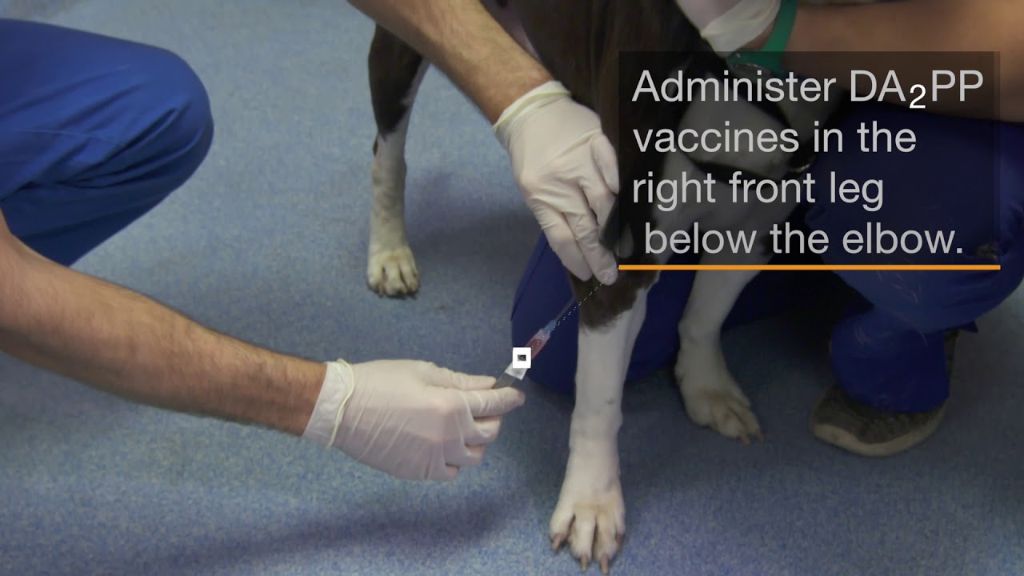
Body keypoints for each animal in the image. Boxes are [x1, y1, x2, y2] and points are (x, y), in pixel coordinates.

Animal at [364, 0, 843, 565]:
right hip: (401, 51)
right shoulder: (611, 258)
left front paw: (706, 386)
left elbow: (705, 317)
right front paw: (591, 502)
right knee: (388, 152)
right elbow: (599, 399)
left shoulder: (756, 227)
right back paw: (389, 249)